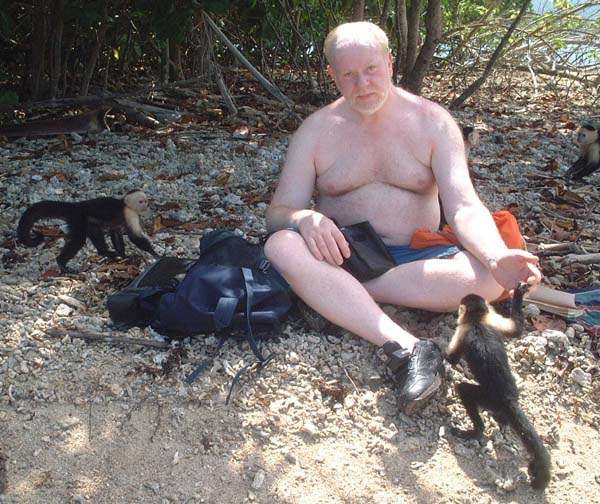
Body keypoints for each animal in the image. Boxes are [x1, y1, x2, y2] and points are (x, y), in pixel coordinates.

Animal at [17, 189, 159, 272]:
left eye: (146, 201)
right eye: (141, 201)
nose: (147, 206)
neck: (125, 204)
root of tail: (76, 206)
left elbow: (116, 234)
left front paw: (123, 255)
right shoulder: (130, 214)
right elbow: (134, 237)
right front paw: (155, 254)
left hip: (87, 221)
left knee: (95, 232)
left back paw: (106, 253)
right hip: (78, 218)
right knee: (79, 240)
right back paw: (61, 263)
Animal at [446, 286, 552, 490]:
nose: (456, 312)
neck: (477, 319)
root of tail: (508, 398)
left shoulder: (462, 330)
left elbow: (452, 359)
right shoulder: (493, 321)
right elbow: (516, 330)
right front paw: (519, 293)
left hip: (488, 397)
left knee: (465, 391)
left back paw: (474, 430)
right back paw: (501, 419)